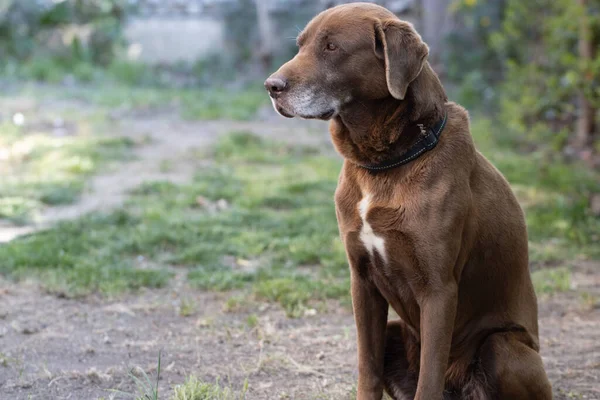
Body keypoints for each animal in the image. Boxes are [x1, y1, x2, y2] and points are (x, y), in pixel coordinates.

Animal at [264, 3, 552, 400]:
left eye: (332, 47)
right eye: (301, 45)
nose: (271, 86)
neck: (385, 164)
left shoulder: (439, 290)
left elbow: (428, 379)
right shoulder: (362, 281)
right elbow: (367, 368)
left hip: (504, 348)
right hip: (395, 331)